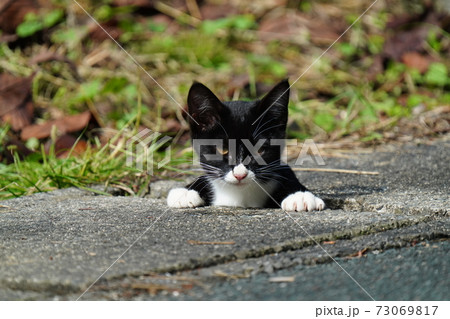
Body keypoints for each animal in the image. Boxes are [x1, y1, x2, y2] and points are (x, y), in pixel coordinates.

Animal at [167, 79, 326, 212]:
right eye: (222, 149)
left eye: (259, 150)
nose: (240, 174)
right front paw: (186, 192)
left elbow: (286, 172)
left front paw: (299, 195)